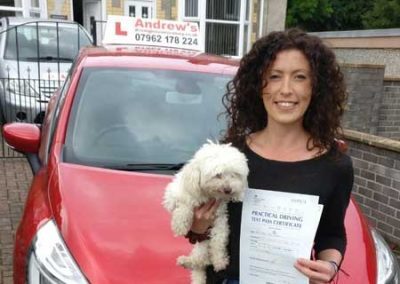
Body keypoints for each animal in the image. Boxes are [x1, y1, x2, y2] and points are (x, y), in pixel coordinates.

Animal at [162, 140, 247, 284]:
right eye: (218, 174)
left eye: (234, 174)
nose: (228, 190)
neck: (207, 195)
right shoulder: (172, 196)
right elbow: (184, 204)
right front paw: (180, 226)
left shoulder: (219, 218)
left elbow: (219, 240)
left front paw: (220, 261)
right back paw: (187, 261)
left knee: (203, 261)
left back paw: (191, 262)